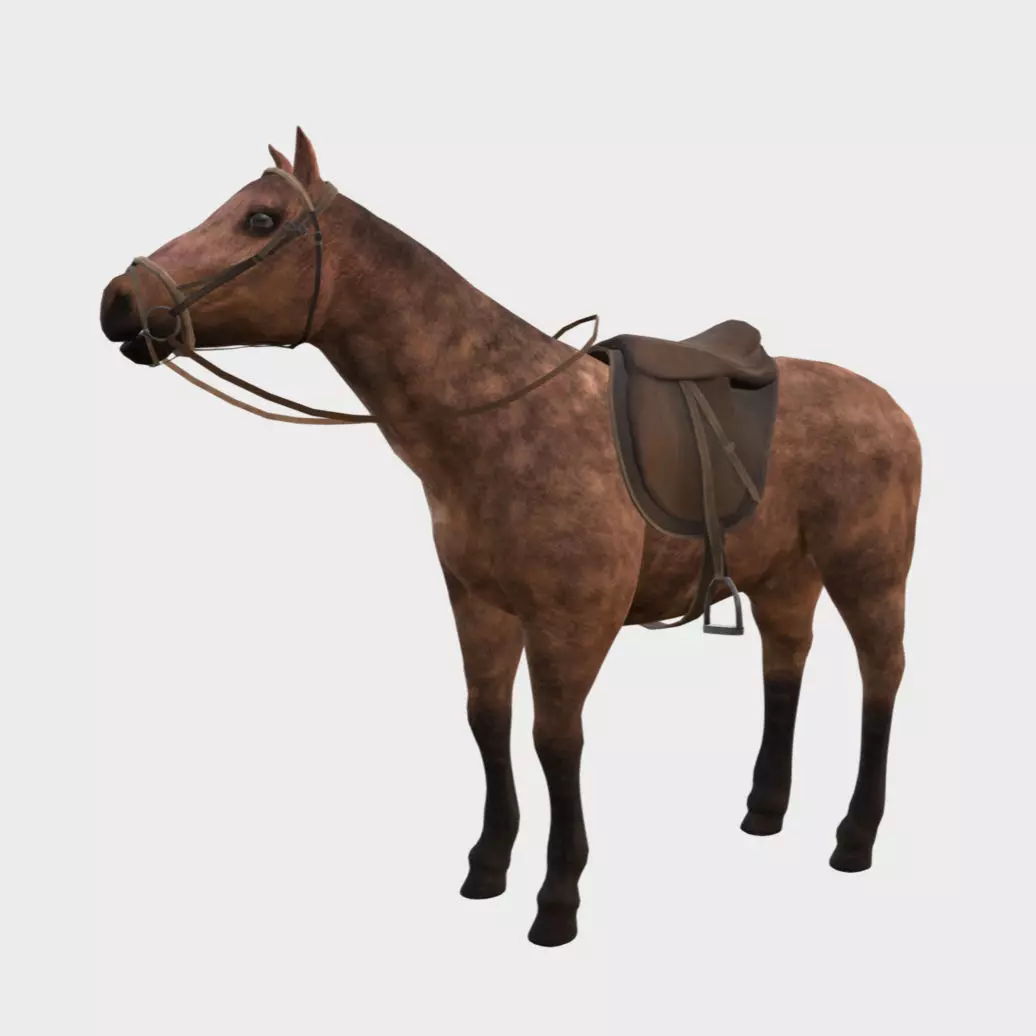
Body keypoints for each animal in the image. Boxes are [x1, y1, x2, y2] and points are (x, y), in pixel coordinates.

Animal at [98, 128, 922, 947]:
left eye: (261, 220)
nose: (119, 300)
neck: (500, 419)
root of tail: (889, 406)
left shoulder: (571, 623)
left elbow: (555, 741)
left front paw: (558, 898)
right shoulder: (479, 605)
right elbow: (487, 723)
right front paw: (488, 865)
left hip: (868, 574)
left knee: (881, 676)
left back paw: (855, 837)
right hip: (785, 576)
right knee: (785, 667)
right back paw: (765, 810)